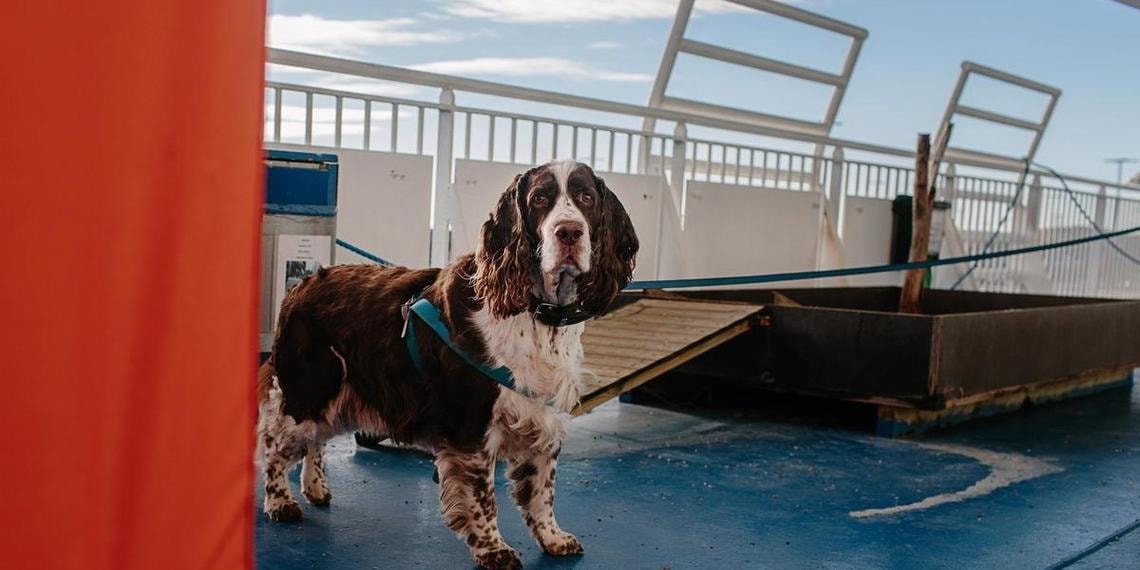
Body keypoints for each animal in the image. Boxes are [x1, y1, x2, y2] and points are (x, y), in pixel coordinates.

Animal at [253, 160, 638, 570]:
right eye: (539, 199)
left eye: (586, 198)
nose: (569, 231)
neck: (536, 314)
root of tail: (304, 282)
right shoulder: (472, 425)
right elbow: (484, 497)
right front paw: (494, 549)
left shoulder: (542, 414)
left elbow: (542, 489)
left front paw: (553, 538)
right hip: (308, 387)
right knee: (275, 441)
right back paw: (280, 501)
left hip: (338, 393)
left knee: (316, 438)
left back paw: (316, 487)